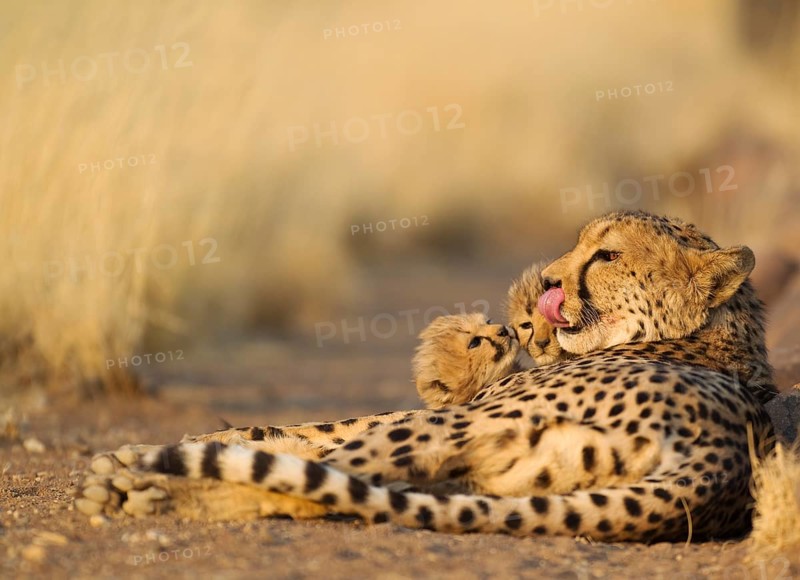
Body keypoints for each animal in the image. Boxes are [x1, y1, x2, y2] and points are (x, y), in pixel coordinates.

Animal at [76, 210, 778, 542]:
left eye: (606, 255)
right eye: (580, 244)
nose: (550, 282)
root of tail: (722, 461)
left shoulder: (452, 410)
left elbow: (319, 437)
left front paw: (141, 460)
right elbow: (295, 430)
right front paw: (165, 447)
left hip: (458, 430)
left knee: (329, 482)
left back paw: (146, 490)